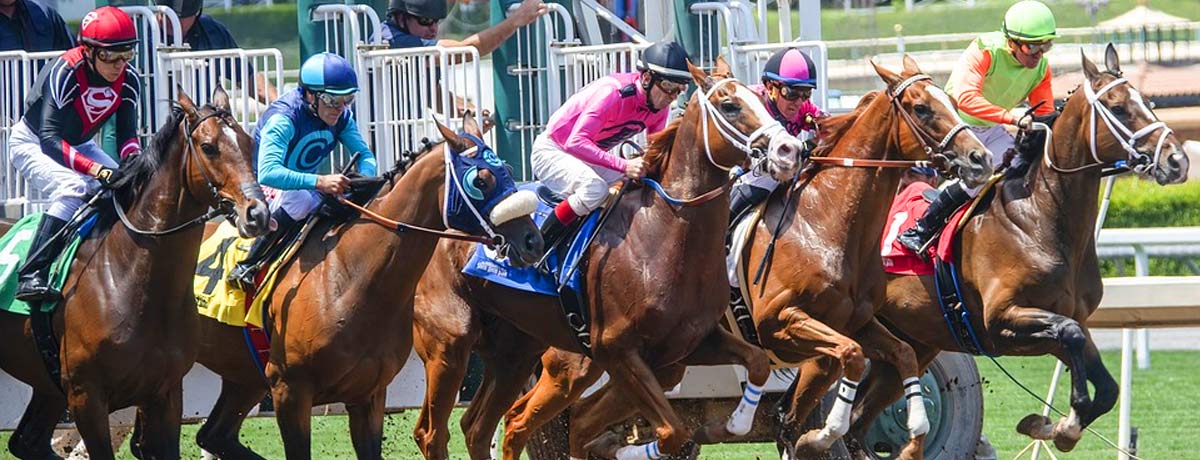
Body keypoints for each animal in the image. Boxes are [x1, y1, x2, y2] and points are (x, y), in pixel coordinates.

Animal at [0, 87, 270, 460]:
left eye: (247, 142)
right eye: (208, 147)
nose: (257, 213)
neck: (132, 279)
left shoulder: (165, 393)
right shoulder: (87, 397)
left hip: (48, 386)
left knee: (28, 441)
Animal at [189, 115, 544, 459]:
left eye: (509, 170)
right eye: (481, 180)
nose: (533, 240)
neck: (350, 279)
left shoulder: (369, 394)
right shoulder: (289, 388)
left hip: (244, 378)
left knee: (213, 435)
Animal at [408, 58, 806, 460]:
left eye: (764, 102)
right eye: (730, 105)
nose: (790, 150)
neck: (664, 233)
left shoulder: (688, 346)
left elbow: (757, 363)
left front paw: (738, 422)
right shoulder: (616, 351)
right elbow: (671, 432)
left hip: (515, 352)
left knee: (483, 426)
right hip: (451, 346)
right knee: (433, 431)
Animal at [848, 45, 1190, 455]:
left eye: (1149, 103)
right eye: (1119, 107)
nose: (1177, 161)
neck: (1040, 220)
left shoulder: (1059, 323)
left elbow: (1105, 385)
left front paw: (1056, 427)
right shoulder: (1002, 319)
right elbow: (1072, 337)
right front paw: (1062, 425)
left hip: (912, 344)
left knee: (857, 420)